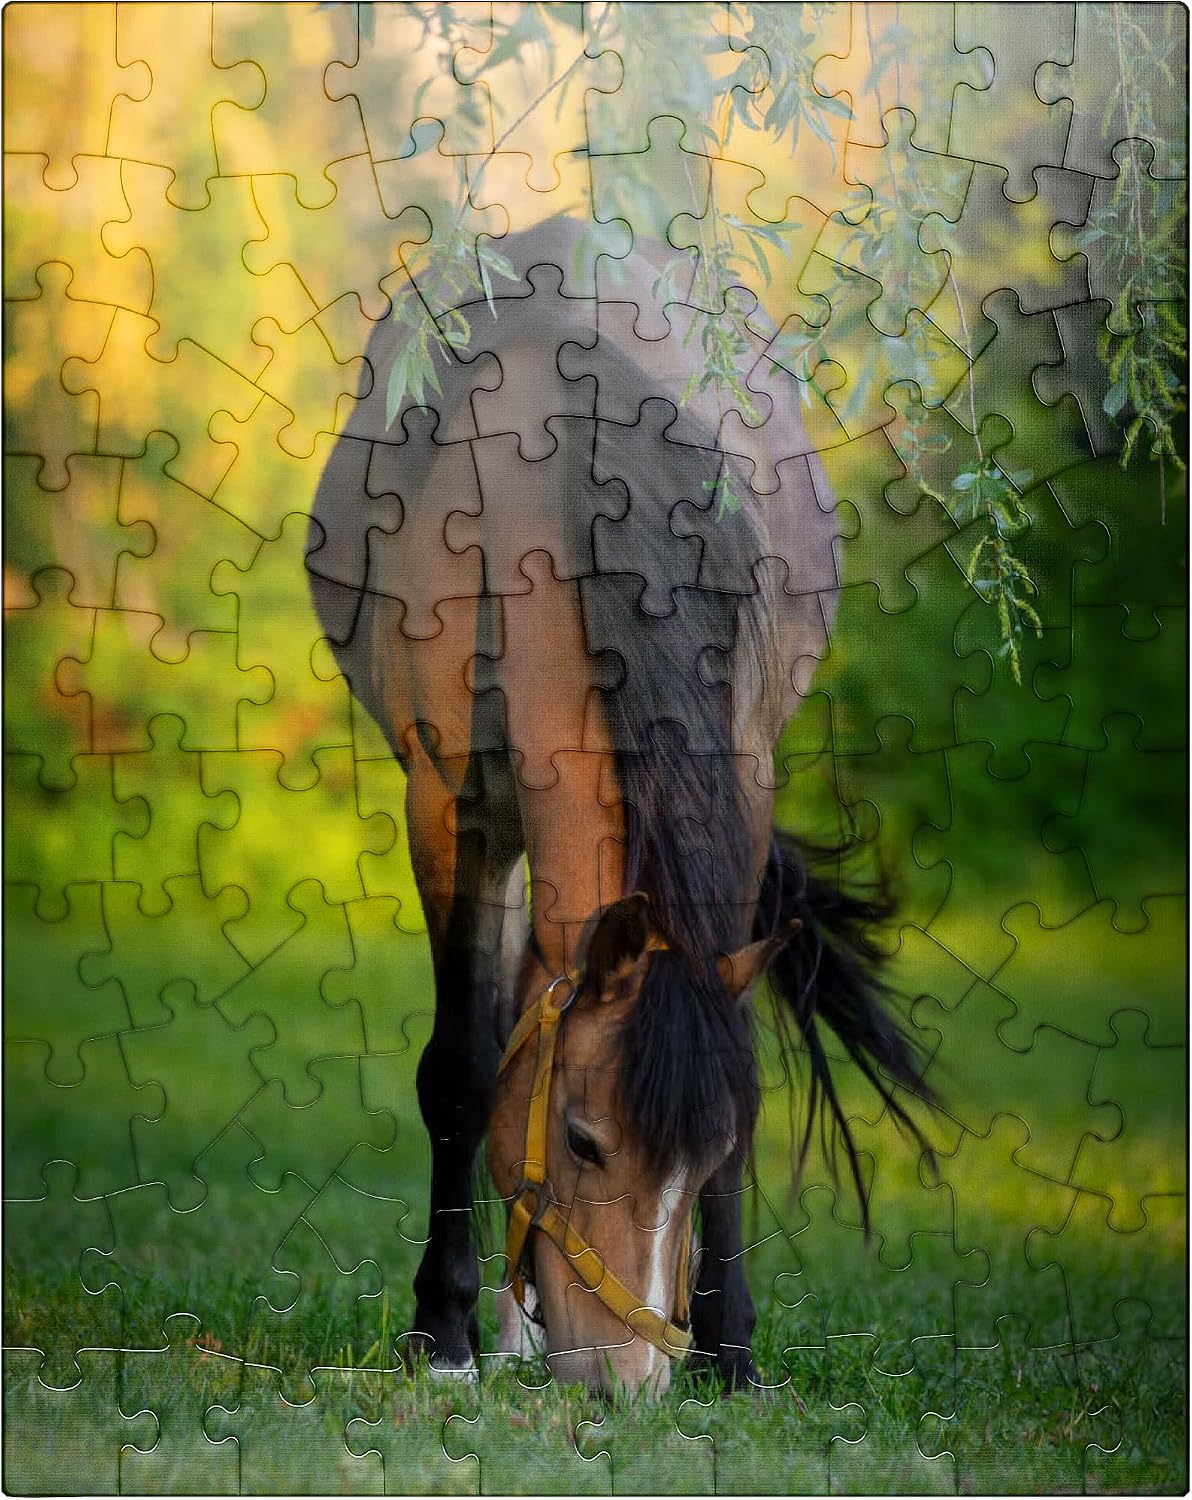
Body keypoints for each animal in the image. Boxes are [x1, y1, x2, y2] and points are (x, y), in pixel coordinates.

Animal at [308, 215, 929, 1394]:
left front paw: (731, 1347)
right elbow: (464, 1069)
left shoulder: (740, 780)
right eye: (585, 1139)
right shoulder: (448, 803)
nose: (628, 1384)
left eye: (701, 1154)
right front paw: (446, 1332)